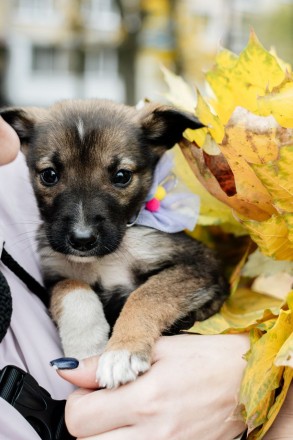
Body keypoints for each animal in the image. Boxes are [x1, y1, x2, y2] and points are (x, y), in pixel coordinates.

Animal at [0, 100, 228, 388]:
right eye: (49, 175)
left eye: (122, 176)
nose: (82, 240)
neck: (110, 256)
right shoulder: (54, 274)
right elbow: (72, 288)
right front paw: (86, 346)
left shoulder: (198, 264)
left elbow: (147, 295)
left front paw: (122, 352)